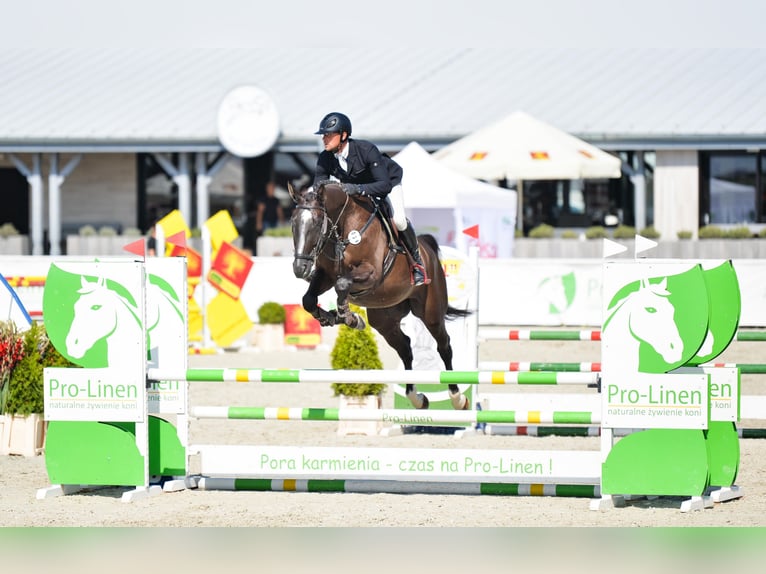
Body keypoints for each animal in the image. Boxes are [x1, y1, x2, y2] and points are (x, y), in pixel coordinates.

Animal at [290, 182, 474, 412]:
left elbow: (342, 285)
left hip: (431, 313)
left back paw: (457, 398)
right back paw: (417, 398)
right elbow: (309, 300)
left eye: (315, 223)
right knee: (405, 348)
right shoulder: (325, 276)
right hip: (384, 320)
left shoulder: (371, 273)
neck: (343, 228)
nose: (300, 269)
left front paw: (347, 316)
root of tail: (427, 249)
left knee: (444, 346)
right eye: (293, 223)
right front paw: (335, 317)